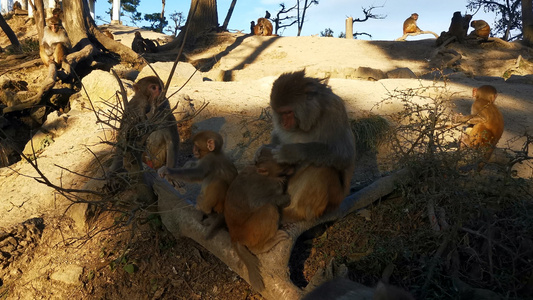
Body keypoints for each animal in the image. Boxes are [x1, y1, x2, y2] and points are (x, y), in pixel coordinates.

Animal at [222, 146, 294, 290]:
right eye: (282, 163)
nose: (292, 164)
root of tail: (235, 236)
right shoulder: (264, 186)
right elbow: (256, 202)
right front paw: (284, 198)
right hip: (250, 232)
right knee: (268, 208)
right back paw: (263, 246)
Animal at [268, 70, 356, 223]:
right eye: (280, 113)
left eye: (288, 112)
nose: (284, 123)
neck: (315, 114)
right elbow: (277, 136)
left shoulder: (334, 110)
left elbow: (344, 154)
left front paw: (292, 152)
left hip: (333, 200)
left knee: (322, 168)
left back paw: (295, 213)